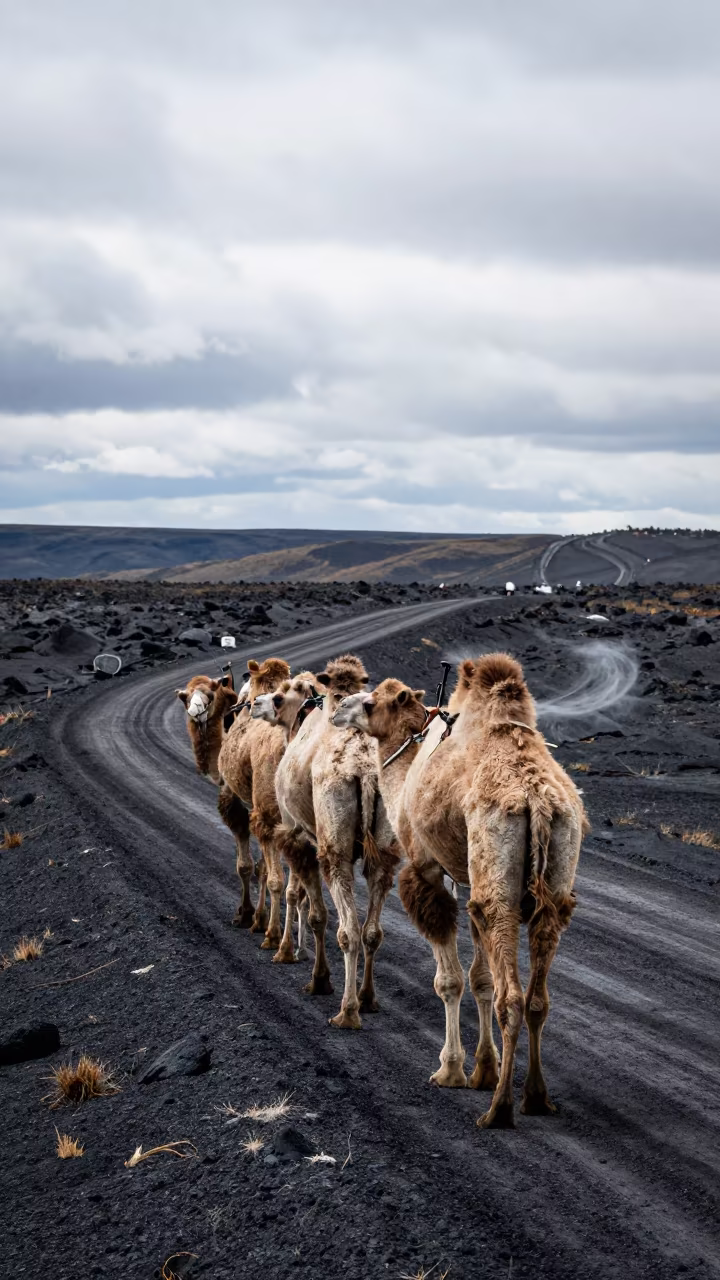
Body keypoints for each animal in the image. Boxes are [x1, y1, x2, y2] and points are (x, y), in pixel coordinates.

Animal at [270, 653, 402, 1028]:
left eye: (282, 694)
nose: (260, 704)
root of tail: (365, 772)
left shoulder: (298, 835)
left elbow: (315, 914)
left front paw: (318, 980)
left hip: (334, 847)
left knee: (349, 931)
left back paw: (347, 1011)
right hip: (384, 847)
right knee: (372, 929)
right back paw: (368, 999)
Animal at [332, 653, 588, 1127]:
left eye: (371, 703)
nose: (339, 708)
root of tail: (538, 800)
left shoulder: (426, 872)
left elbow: (449, 981)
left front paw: (451, 1070)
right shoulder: (468, 882)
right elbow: (479, 978)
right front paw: (482, 1069)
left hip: (498, 876)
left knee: (513, 998)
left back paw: (499, 1109)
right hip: (553, 879)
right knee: (538, 997)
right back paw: (535, 1096)